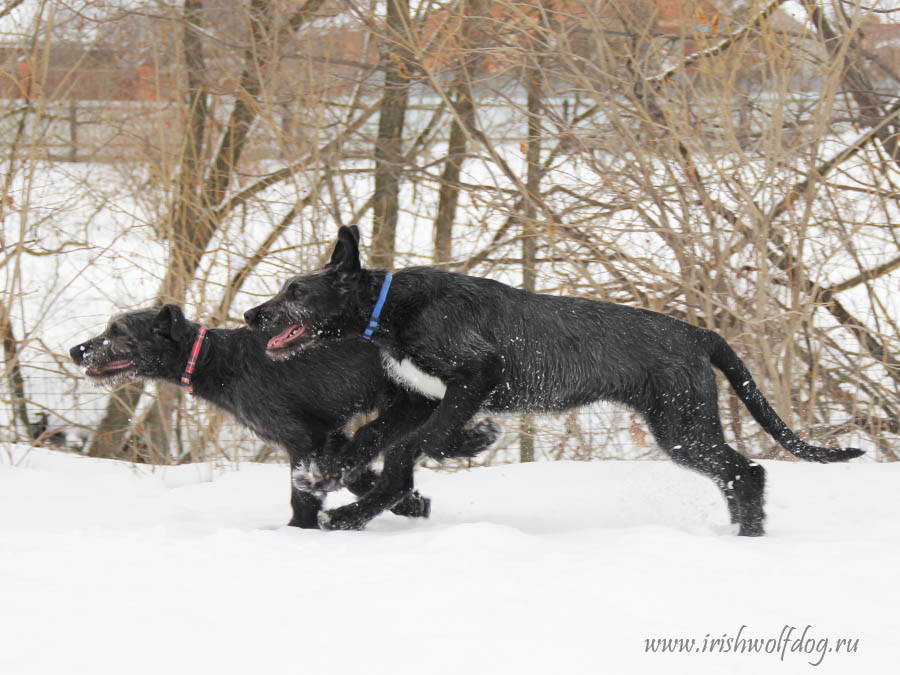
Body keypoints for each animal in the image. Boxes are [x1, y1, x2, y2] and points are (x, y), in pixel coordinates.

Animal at [72, 304, 500, 528]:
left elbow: (306, 493)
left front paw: (299, 530)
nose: (77, 351)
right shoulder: (331, 436)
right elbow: (354, 473)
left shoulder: (303, 439)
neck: (215, 360)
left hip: (407, 405)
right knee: (415, 454)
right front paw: (412, 505)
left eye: (117, 331)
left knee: (412, 451)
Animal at [246, 227, 864, 540]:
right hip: (683, 424)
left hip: (682, 423)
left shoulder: (475, 376)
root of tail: (699, 333)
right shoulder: (419, 397)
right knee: (738, 474)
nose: (252, 316)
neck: (390, 306)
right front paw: (329, 477)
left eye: (295, 292)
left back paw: (750, 538)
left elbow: (417, 447)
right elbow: (372, 440)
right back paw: (740, 533)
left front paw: (355, 508)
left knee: (747, 471)